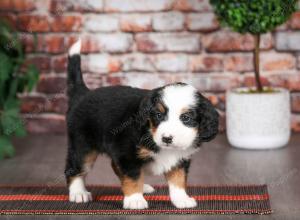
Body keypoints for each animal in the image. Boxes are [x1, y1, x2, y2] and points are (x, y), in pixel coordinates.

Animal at [65, 40, 219, 210]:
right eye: (158, 115)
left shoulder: (180, 159)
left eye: (186, 118)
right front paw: (134, 200)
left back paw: (143, 187)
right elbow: (133, 176)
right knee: (74, 168)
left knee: (115, 166)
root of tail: (83, 94)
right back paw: (78, 193)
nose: (167, 138)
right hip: (82, 146)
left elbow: (178, 180)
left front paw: (181, 199)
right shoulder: (127, 153)